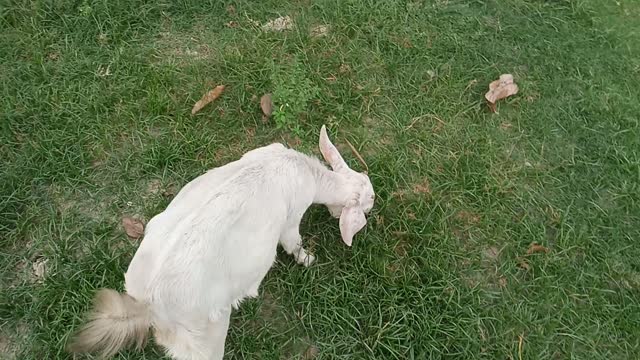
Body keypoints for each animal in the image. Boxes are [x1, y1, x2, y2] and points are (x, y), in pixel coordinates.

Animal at [67, 125, 376, 358]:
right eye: (369, 201)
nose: (374, 201)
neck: (303, 170)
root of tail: (150, 305)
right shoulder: (291, 218)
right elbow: (293, 243)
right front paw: (309, 259)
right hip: (207, 334)